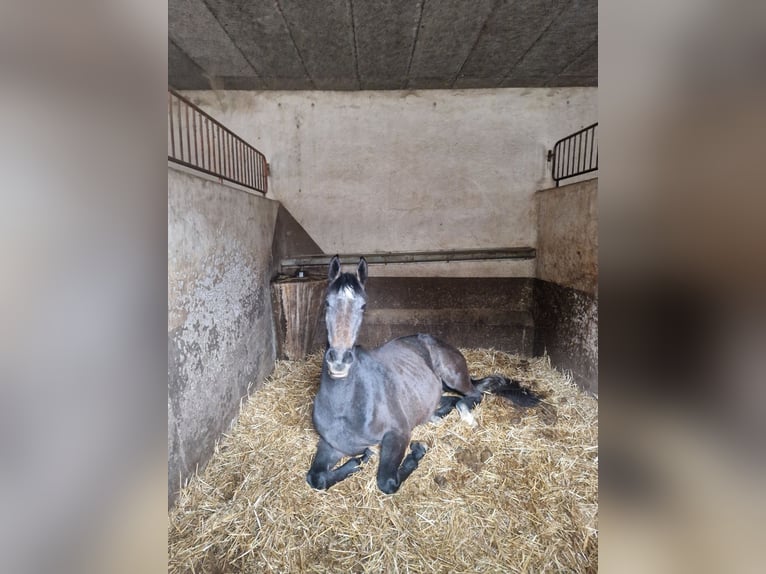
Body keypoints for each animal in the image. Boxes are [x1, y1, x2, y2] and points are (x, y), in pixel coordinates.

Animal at [306, 256, 540, 496]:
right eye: (327, 302)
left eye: (363, 306)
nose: (339, 361)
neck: (347, 409)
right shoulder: (330, 444)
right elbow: (316, 478)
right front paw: (358, 460)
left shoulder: (398, 435)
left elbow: (387, 482)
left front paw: (417, 450)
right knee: (451, 400)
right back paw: (436, 416)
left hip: (453, 377)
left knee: (473, 395)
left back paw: (467, 417)